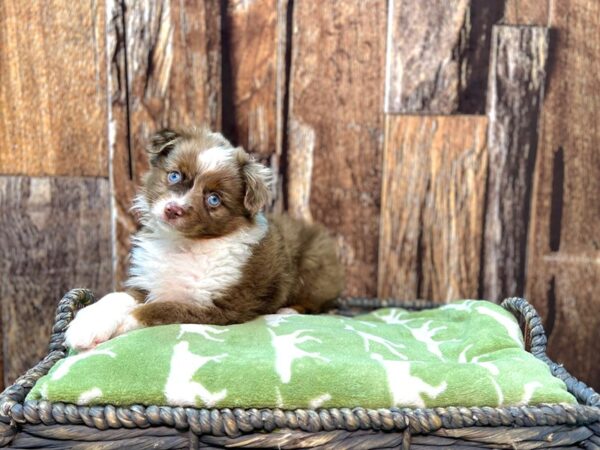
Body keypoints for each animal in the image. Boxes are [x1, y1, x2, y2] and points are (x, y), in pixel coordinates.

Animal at [64, 125, 342, 352]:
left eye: (214, 199)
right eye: (174, 175)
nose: (173, 210)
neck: (184, 244)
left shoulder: (221, 308)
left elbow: (156, 309)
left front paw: (122, 324)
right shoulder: (149, 282)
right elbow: (119, 296)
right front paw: (88, 324)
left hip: (314, 266)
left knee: (317, 302)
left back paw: (287, 309)